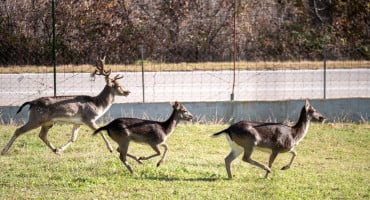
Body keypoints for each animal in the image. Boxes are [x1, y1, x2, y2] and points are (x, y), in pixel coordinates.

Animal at [1, 56, 130, 155]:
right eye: (118, 86)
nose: (127, 92)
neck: (97, 105)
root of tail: (31, 103)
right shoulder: (89, 118)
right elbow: (101, 132)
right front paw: (111, 149)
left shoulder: (78, 122)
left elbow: (73, 138)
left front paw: (61, 149)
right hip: (36, 118)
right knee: (19, 130)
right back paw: (4, 151)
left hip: (47, 122)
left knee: (42, 135)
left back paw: (56, 150)